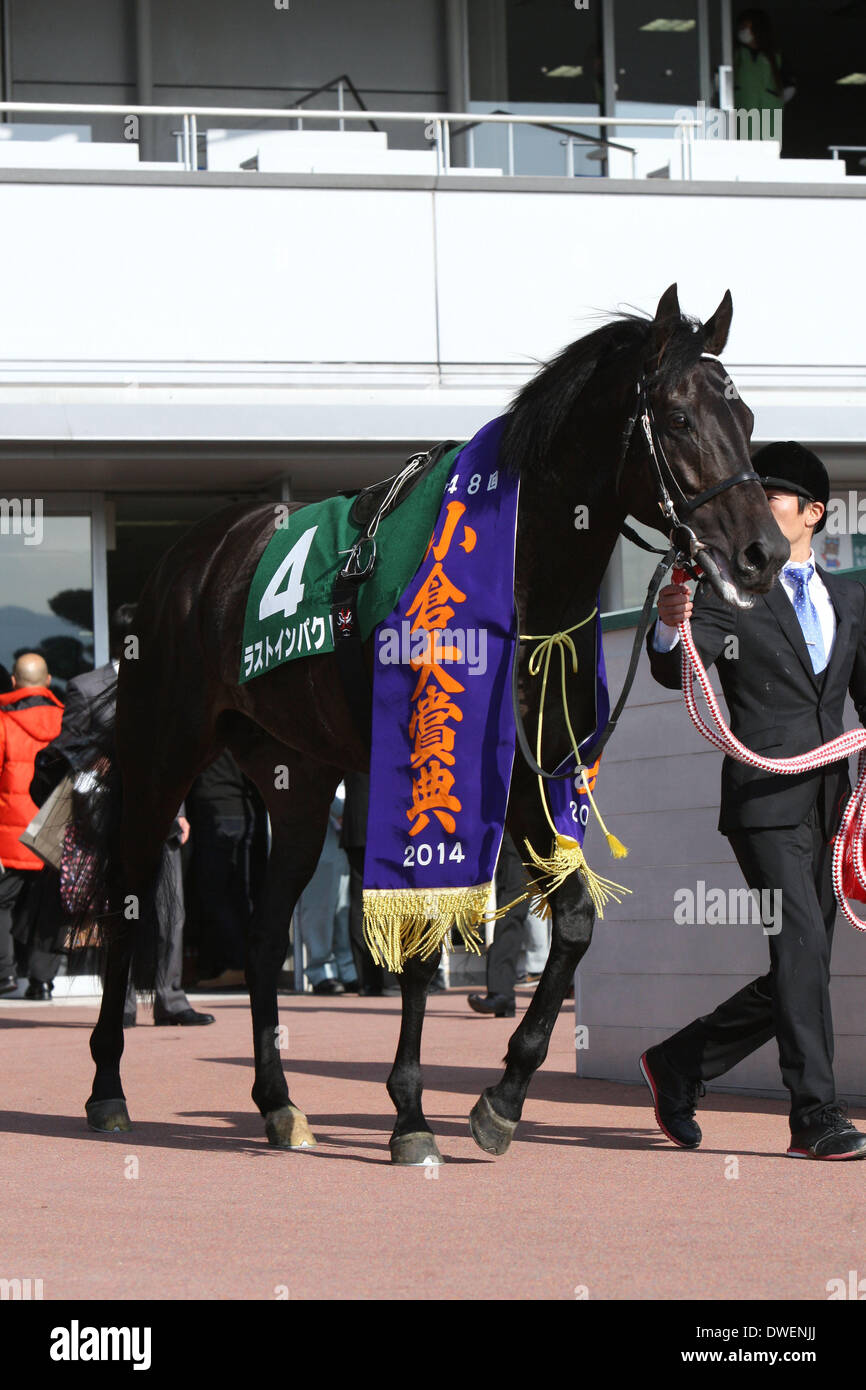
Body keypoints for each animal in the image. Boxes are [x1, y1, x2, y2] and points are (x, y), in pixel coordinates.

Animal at [77, 284, 789, 1162]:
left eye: (747, 416)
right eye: (681, 418)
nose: (764, 553)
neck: (517, 579)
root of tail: (186, 563)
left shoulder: (525, 777)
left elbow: (574, 921)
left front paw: (502, 1097)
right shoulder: (433, 767)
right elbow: (422, 935)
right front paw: (412, 1114)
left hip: (296, 780)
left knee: (265, 933)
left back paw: (278, 1103)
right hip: (161, 751)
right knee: (128, 898)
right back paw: (108, 1089)